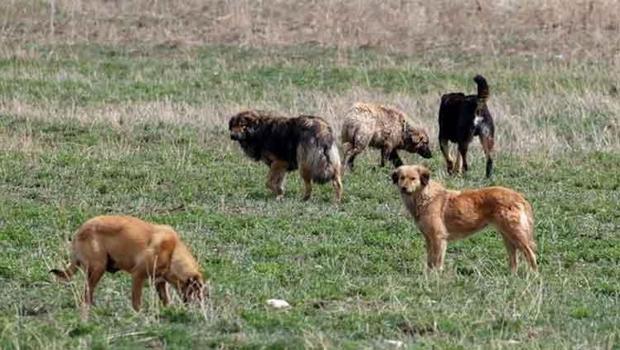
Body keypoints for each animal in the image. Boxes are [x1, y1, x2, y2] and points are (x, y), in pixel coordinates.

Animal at [50, 216, 206, 312]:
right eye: (198, 292)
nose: (201, 307)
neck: (172, 252)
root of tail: (79, 231)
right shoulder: (138, 276)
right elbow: (136, 301)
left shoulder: (159, 282)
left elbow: (165, 300)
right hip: (98, 268)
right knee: (86, 294)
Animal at [392, 165, 536, 274]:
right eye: (401, 178)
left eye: (413, 178)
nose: (403, 188)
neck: (425, 197)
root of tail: (519, 196)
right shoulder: (429, 238)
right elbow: (430, 260)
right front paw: (428, 274)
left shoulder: (438, 237)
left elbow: (437, 260)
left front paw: (435, 276)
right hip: (507, 236)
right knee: (514, 259)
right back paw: (512, 276)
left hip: (515, 234)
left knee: (531, 254)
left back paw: (533, 276)